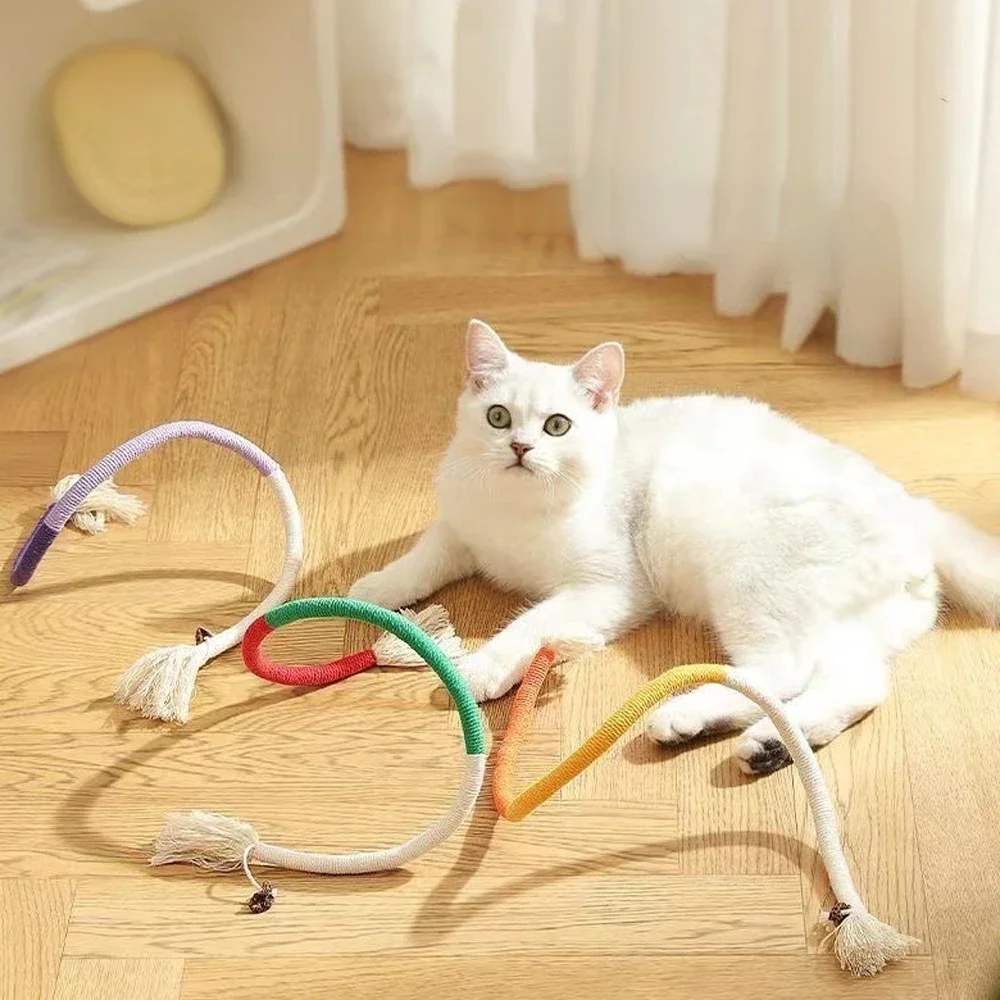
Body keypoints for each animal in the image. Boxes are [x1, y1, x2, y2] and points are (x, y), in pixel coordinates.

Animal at [348, 319, 1000, 774]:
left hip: (752, 578)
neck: (515, 513)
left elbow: (530, 625)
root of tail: (913, 510)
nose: (520, 449)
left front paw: (481, 668)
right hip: (842, 626)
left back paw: (690, 717)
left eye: (557, 426)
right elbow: (425, 557)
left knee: (779, 671)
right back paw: (768, 744)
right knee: (856, 684)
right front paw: (374, 590)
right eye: (498, 417)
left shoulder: (606, 590)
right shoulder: (460, 530)